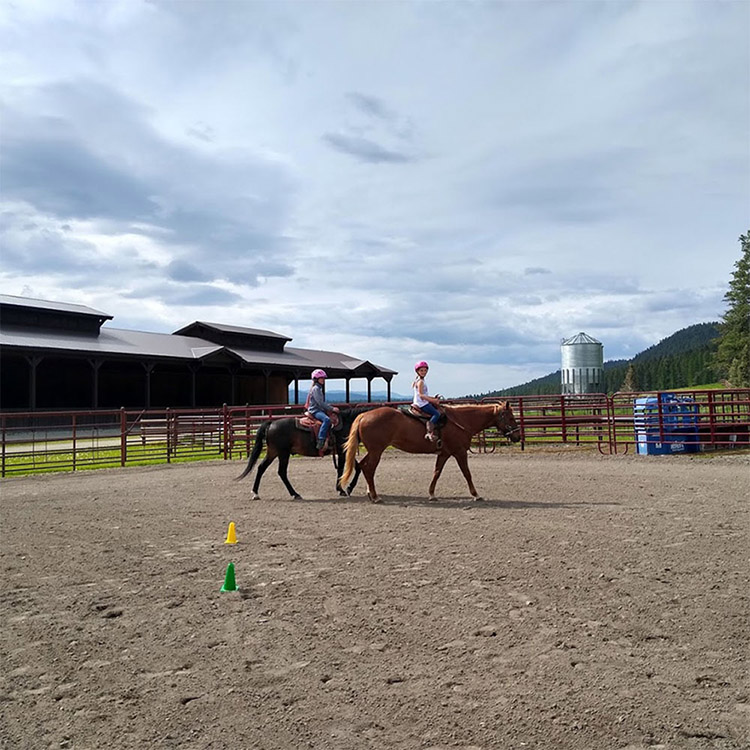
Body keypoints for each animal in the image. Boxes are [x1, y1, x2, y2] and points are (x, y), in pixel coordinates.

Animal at [236, 408, 372, 502]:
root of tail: (271, 424)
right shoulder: (342, 451)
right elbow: (341, 470)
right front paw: (341, 489)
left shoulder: (346, 451)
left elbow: (358, 467)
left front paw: (349, 488)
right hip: (283, 453)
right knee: (281, 472)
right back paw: (295, 494)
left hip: (273, 452)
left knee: (261, 468)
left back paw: (255, 493)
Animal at [342, 402, 524, 502]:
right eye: (511, 418)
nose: (516, 436)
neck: (461, 421)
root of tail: (364, 415)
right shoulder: (459, 452)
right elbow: (467, 473)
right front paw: (476, 494)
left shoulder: (444, 454)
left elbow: (437, 472)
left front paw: (431, 494)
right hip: (377, 451)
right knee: (369, 468)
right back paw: (375, 496)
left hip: (373, 450)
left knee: (363, 466)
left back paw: (368, 493)